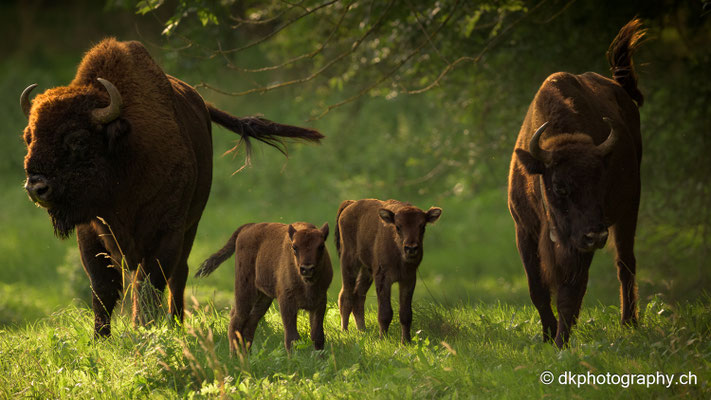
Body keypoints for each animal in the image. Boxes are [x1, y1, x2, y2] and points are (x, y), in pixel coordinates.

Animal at [20, 38, 323, 337]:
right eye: (29, 137)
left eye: (79, 140)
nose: (36, 187)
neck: (125, 152)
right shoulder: (91, 231)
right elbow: (103, 288)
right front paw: (101, 337)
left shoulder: (167, 231)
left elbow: (151, 282)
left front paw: (144, 328)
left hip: (191, 226)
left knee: (178, 274)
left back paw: (176, 322)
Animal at [335, 199, 441, 343]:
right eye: (398, 227)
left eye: (422, 226)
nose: (411, 248)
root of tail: (351, 204)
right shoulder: (383, 278)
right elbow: (385, 313)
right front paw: (383, 339)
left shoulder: (408, 279)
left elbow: (405, 313)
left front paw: (406, 341)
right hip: (349, 262)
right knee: (346, 296)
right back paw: (345, 332)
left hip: (367, 271)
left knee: (358, 296)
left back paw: (362, 331)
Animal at [507, 20, 645, 347]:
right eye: (560, 186)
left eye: (601, 183)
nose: (596, 235)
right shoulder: (525, 230)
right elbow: (538, 288)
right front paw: (548, 335)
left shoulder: (579, 243)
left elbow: (570, 292)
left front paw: (561, 341)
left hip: (629, 210)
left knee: (625, 264)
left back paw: (629, 322)